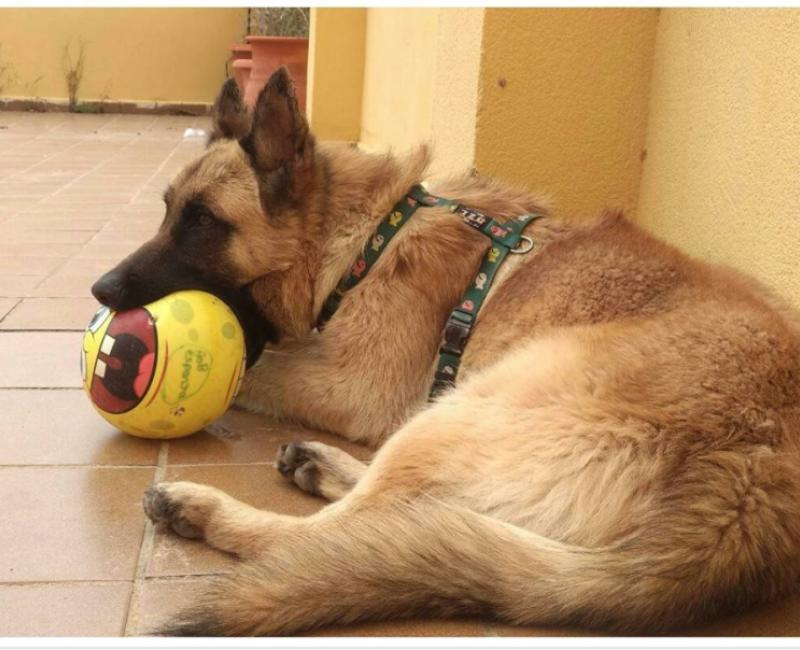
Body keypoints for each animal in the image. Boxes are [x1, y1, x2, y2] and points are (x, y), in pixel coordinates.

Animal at [92, 68, 800, 636]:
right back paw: (320, 466)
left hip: (470, 406)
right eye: (166, 212)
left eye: (203, 222)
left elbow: (256, 371)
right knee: (406, 517)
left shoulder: (354, 389)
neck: (365, 237)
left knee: (347, 533)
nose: (99, 291)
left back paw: (204, 508)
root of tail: (750, 486)